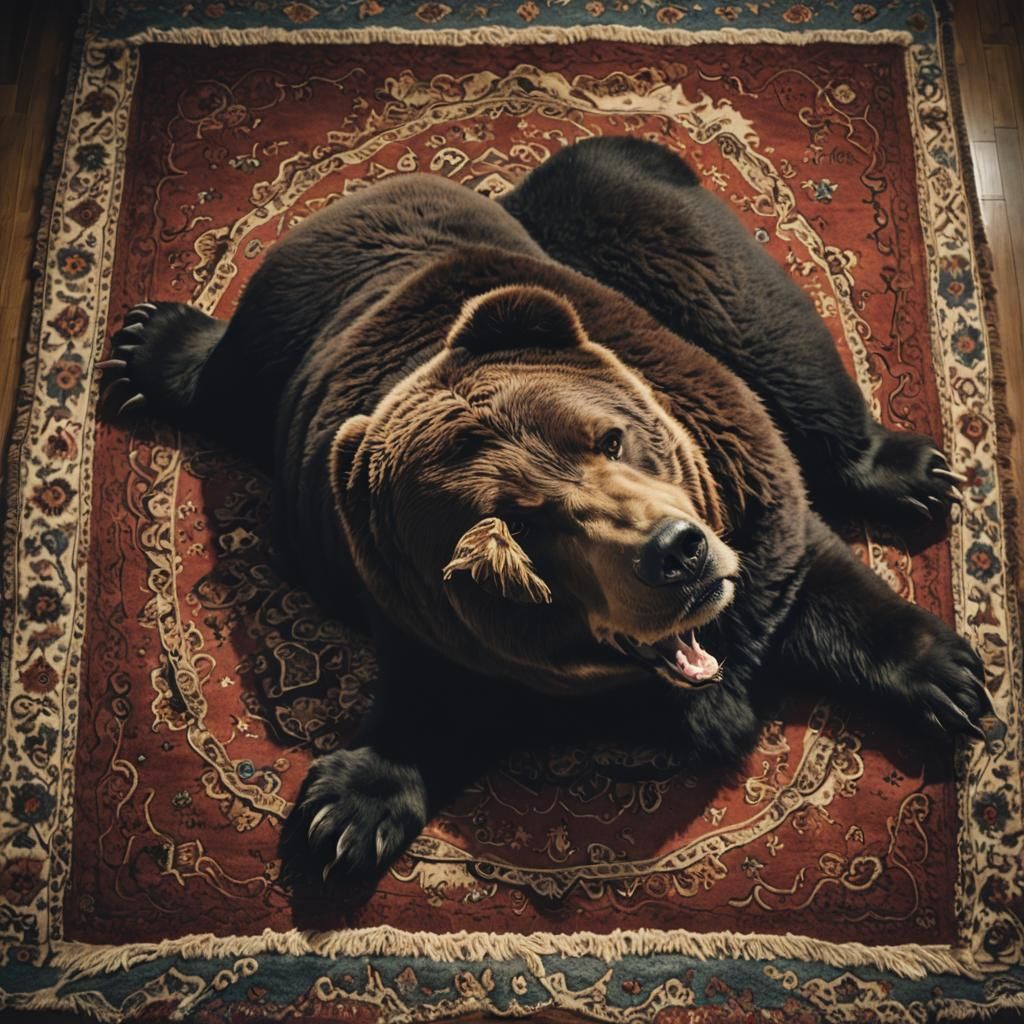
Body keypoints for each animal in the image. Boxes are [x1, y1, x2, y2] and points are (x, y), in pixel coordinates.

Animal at [100, 138, 992, 886]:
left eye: (612, 438)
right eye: (519, 530)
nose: (677, 551)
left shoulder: (755, 517)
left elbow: (818, 581)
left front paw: (951, 678)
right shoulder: (443, 623)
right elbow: (434, 703)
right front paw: (345, 813)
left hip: (645, 237)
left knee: (759, 319)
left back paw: (907, 470)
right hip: (290, 322)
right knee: (234, 378)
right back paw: (152, 343)